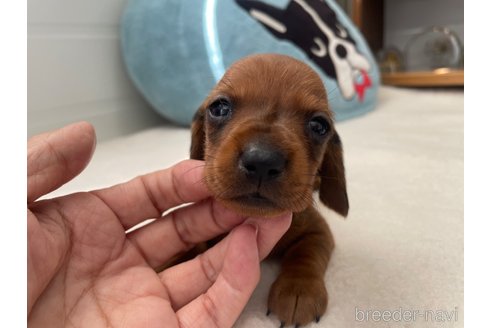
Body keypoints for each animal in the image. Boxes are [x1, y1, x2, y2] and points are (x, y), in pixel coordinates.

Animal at [190, 53, 348, 326]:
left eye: (319, 125)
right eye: (219, 108)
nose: (262, 161)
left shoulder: (318, 231)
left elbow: (306, 255)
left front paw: (298, 289)